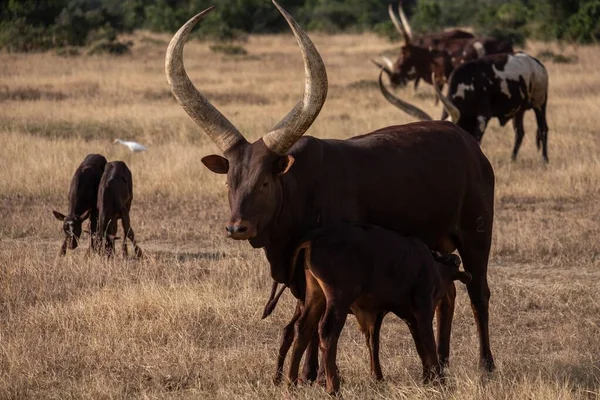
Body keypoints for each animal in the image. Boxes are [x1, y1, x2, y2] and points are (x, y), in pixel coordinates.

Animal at [165, 0, 496, 382]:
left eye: (264, 181)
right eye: (228, 180)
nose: (237, 227)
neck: (300, 190)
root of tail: (468, 142)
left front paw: (317, 375)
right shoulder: (303, 276)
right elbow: (304, 321)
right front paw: (307, 375)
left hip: (476, 235)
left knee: (478, 293)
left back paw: (486, 364)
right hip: (439, 244)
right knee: (450, 293)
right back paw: (442, 361)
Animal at [382, 52, 552, 162]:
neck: (467, 85)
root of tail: (537, 63)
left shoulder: (483, 117)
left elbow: (477, 139)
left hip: (540, 103)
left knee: (543, 128)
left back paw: (545, 160)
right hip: (519, 110)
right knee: (519, 132)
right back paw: (513, 159)